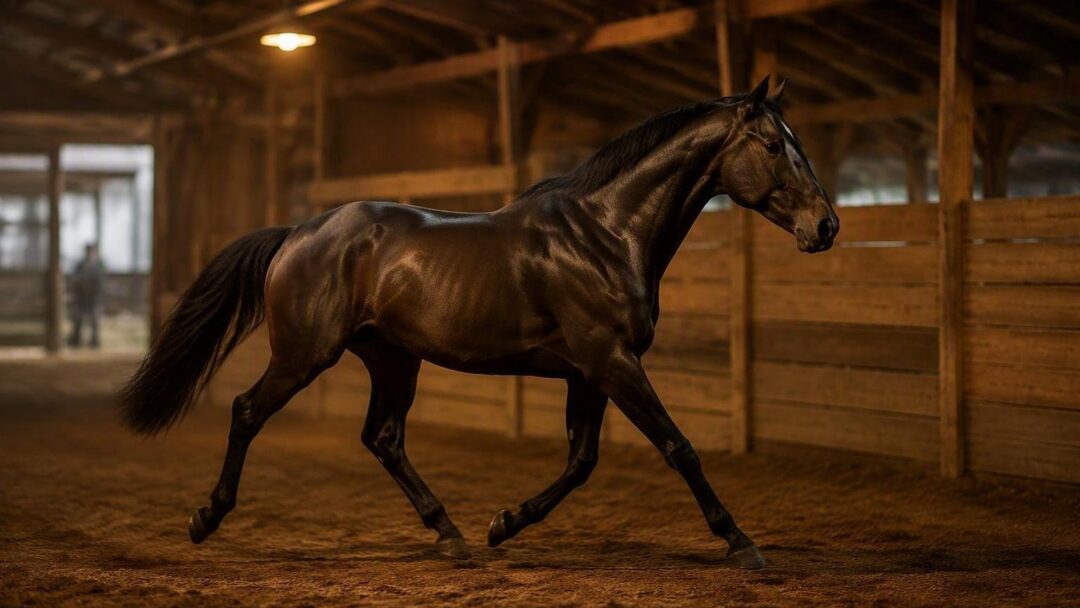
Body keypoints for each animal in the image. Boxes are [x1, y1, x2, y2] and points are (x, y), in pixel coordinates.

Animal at [121, 76, 838, 570]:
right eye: (773, 146)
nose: (826, 226)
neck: (608, 234)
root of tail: (298, 231)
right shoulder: (612, 362)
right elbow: (677, 446)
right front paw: (740, 542)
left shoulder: (589, 373)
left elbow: (582, 461)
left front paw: (503, 523)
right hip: (304, 355)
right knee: (247, 411)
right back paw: (205, 518)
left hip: (393, 359)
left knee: (383, 438)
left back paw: (451, 533)